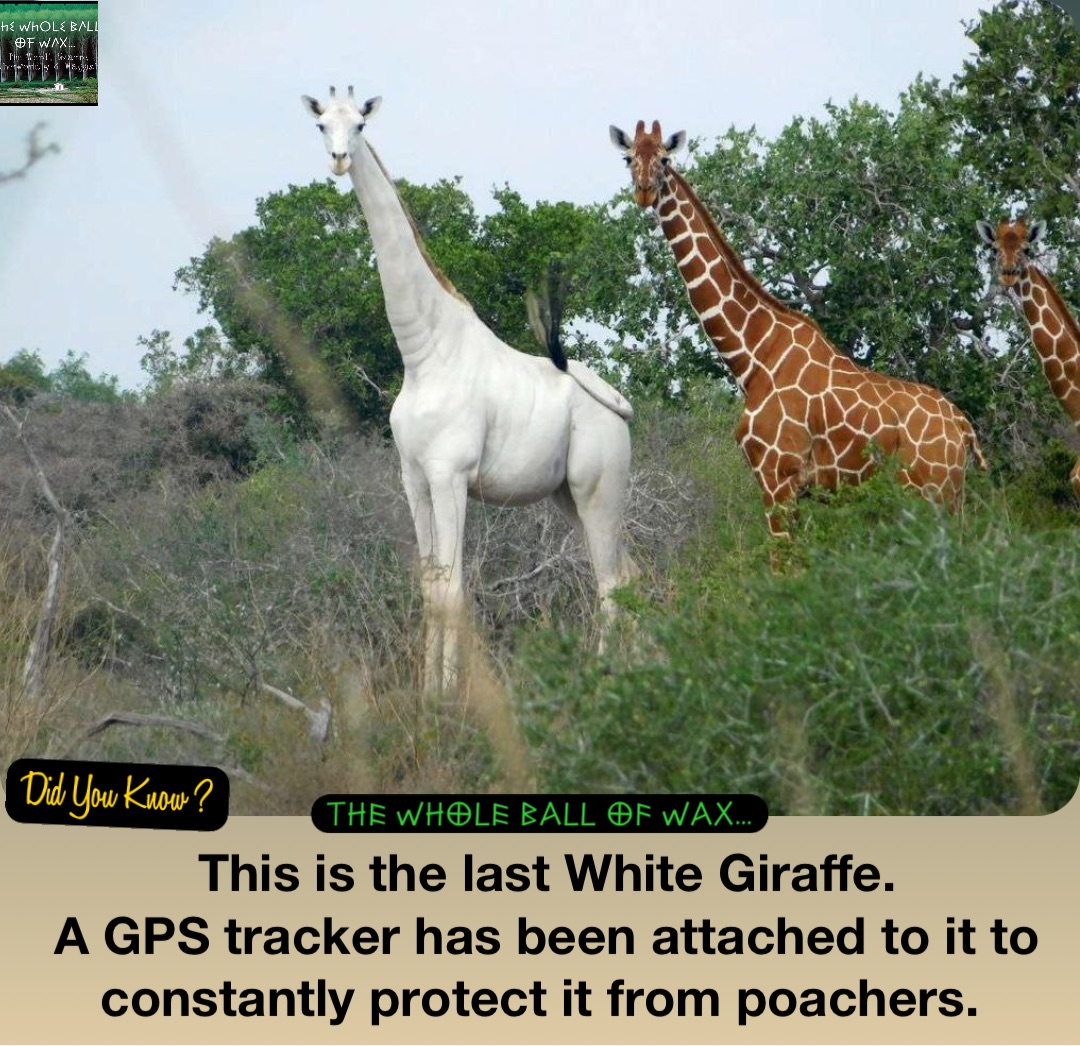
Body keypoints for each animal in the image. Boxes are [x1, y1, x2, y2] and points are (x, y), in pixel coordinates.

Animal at [303, 87, 637, 696]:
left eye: (360, 124)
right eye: (321, 125)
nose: (338, 160)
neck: (423, 353)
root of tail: (622, 410)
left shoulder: (451, 474)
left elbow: (455, 591)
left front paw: (447, 699)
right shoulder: (413, 479)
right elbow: (431, 587)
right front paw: (424, 693)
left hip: (599, 487)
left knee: (610, 583)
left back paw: (608, 677)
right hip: (567, 496)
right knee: (629, 572)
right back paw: (645, 664)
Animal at [611, 120, 986, 537]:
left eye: (664, 159)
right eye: (629, 158)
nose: (644, 190)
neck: (753, 354)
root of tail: (965, 430)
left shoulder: (777, 475)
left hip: (933, 493)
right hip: (948, 496)